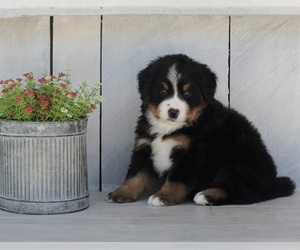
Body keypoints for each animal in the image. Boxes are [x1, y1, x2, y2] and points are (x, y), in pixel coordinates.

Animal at [107, 53, 296, 206]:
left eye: (187, 93)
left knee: (242, 192)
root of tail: (271, 183)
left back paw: (206, 195)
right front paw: (122, 193)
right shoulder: (144, 147)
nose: (173, 112)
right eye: (162, 90)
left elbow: (176, 179)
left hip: (239, 159)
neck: (169, 128)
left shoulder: (192, 154)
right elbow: (136, 176)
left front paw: (163, 196)